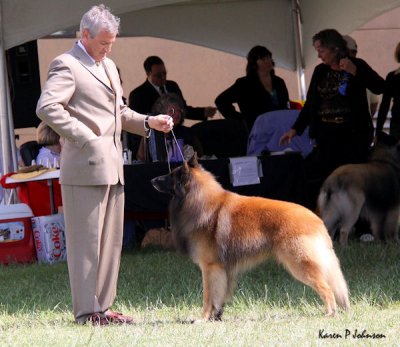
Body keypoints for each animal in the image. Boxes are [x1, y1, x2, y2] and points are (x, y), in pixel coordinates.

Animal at [152, 155, 350, 320]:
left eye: (170, 175)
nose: (152, 180)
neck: (198, 200)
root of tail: (317, 219)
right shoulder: (221, 270)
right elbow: (218, 296)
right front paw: (216, 316)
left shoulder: (209, 268)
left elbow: (208, 296)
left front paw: (203, 319)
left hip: (300, 264)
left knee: (327, 288)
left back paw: (330, 313)